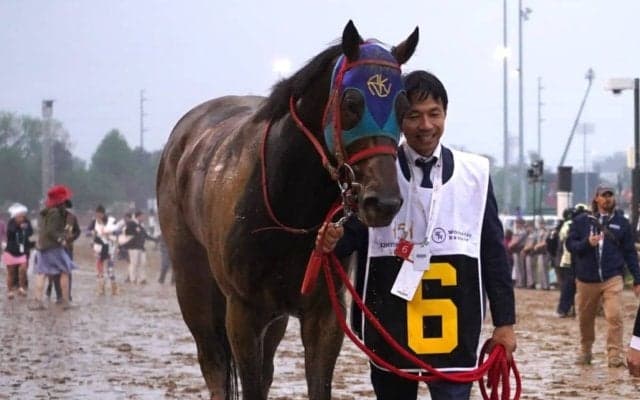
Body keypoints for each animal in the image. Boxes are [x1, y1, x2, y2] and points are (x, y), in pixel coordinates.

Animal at [156, 21, 418, 400]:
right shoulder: (243, 312)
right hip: (194, 287)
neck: (289, 208)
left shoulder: (324, 313)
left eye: (402, 106)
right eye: (352, 102)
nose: (382, 202)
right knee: (214, 365)